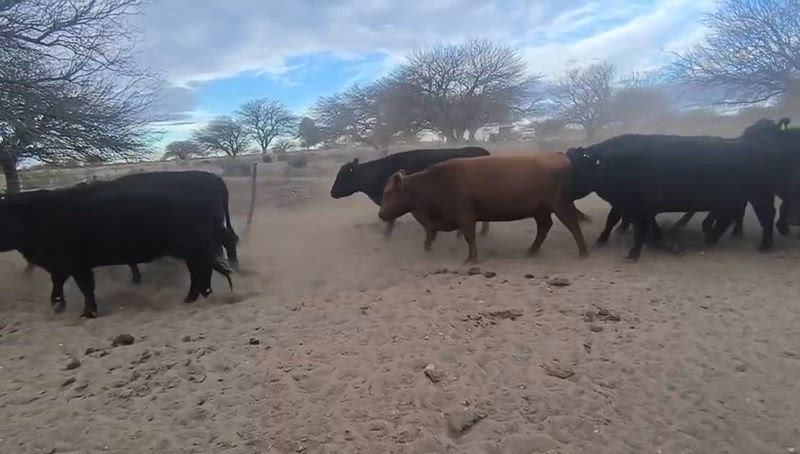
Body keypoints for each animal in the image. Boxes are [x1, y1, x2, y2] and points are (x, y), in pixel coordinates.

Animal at [377, 154, 589, 263]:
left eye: (387, 193)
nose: (381, 214)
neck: (435, 182)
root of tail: (559, 156)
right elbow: (429, 238)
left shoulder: (466, 217)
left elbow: (470, 238)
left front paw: (471, 259)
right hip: (541, 211)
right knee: (544, 227)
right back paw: (531, 251)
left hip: (561, 205)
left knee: (573, 225)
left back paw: (583, 253)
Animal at [567, 133, 784, 260]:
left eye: (575, 167)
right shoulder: (626, 204)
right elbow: (617, 221)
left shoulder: (637, 205)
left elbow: (637, 227)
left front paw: (634, 252)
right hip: (736, 198)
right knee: (729, 218)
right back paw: (711, 239)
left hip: (757, 195)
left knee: (765, 217)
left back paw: (764, 245)